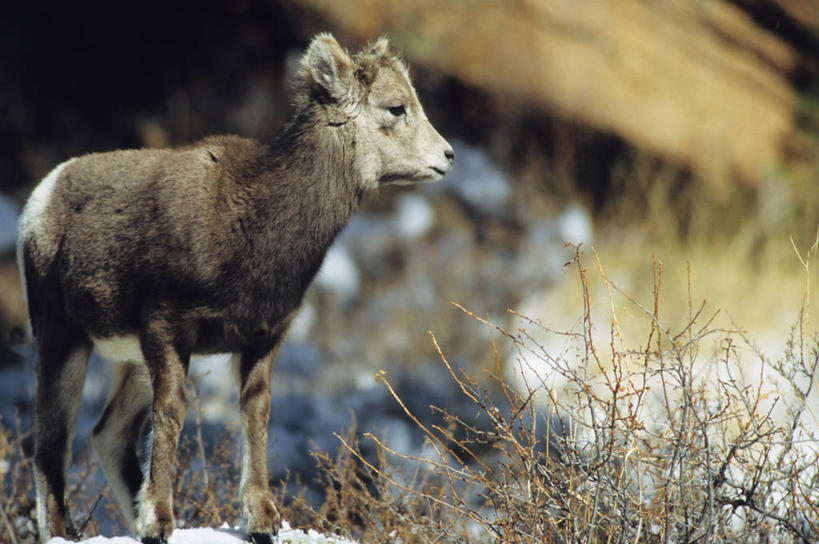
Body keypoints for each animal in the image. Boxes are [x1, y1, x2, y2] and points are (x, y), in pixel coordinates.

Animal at [17, 35, 454, 544]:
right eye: (395, 107)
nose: (448, 156)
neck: (254, 221)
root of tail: (43, 196)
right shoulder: (168, 330)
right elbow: (173, 411)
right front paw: (159, 523)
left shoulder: (262, 340)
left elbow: (255, 411)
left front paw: (261, 520)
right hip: (63, 340)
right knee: (51, 447)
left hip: (128, 361)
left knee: (108, 436)